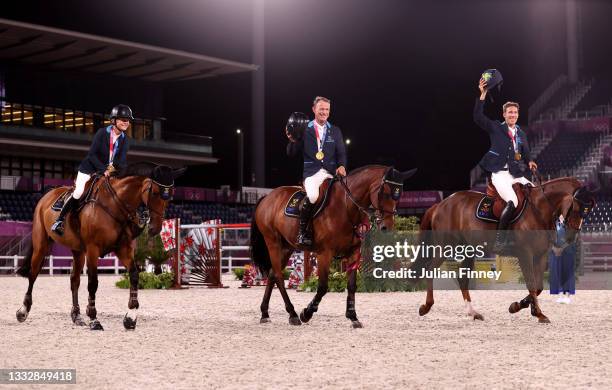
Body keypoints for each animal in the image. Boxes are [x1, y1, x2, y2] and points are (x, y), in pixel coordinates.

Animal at [15, 161, 185, 330]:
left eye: (170, 196)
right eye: (154, 193)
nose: (155, 229)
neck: (115, 203)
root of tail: (49, 193)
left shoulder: (123, 248)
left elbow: (134, 275)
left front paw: (130, 317)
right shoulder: (93, 249)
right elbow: (93, 282)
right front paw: (94, 319)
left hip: (78, 251)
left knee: (74, 279)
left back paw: (77, 317)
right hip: (41, 245)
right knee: (33, 274)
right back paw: (23, 311)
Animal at [250, 166, 416, 328]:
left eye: (399, 195)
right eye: (385, 193)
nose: (387, 227)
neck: (346, 207)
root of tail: (267, 197)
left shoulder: (354, 252)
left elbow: (351, 285)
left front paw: (353, 316)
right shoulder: (324, 253)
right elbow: (323, 286)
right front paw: (306, 313)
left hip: (287, 247)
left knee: (272, 274)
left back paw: (265, 313)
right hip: (273, 243)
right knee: (278, 276)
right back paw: (293, 314)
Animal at [418, 177, 596, 322]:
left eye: (588, 212)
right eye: (577, 208)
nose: (572, 237)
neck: (539, 209)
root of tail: (441, 204)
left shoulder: (541, 255)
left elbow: (538, 287)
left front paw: (518, 306)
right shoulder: (525, 254)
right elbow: (531, 284)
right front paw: (538, 313)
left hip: (469, 249)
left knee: (462, 279)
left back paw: (473, 313)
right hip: (445, 247)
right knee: (430, 269)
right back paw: (426, 307)